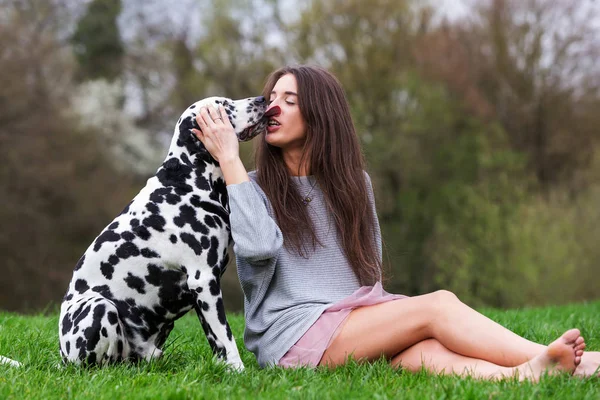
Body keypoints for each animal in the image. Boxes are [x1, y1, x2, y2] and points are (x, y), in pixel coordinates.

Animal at [59, 94, 272, 368]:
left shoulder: (202, 291)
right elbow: (227, 337)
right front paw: (238, 371)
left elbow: (217, 341)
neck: (188, 182)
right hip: (100, 307)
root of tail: (62, 356)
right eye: (224, 106)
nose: (262, 98)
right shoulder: (204, 281)